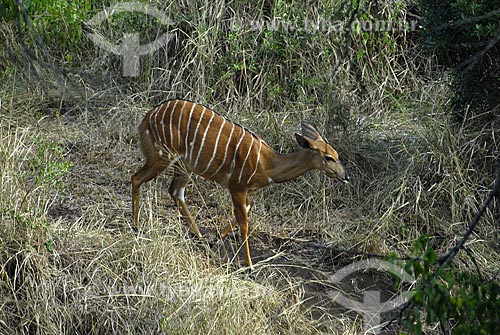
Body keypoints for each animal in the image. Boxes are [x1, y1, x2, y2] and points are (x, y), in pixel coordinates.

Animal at [131, 100, 350, 270]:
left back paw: (199, 234)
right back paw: (136, 227)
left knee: (175, 191)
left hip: (184, 165)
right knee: (137, 179)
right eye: (329, 158)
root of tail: (147, 118)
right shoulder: (236, 187)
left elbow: (244, 213)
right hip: (162, 158)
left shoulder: (249, 192)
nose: (346, 177)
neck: (267, 163)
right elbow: (244, 224)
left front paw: (216, 237)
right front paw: (250, 266)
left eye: (337, 155)